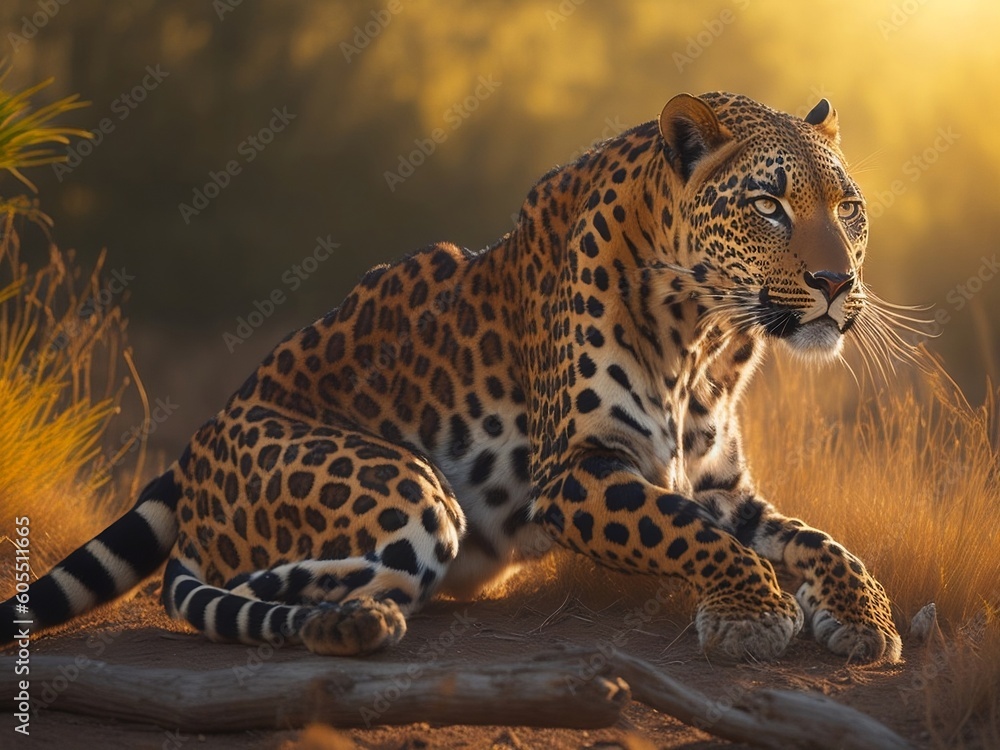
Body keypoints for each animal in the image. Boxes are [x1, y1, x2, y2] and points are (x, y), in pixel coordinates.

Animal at [1, 92, 903, 663]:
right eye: (768, 206)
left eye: (849, 207)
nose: (836, 283)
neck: (709, 339)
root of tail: (205, 436)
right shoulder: (577, 473)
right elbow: (689, 533)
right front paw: (757, 615)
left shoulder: (721, 483)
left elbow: (812, 537)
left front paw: (861, 615)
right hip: (409, 495)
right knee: (224, 585)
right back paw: (347, 623)